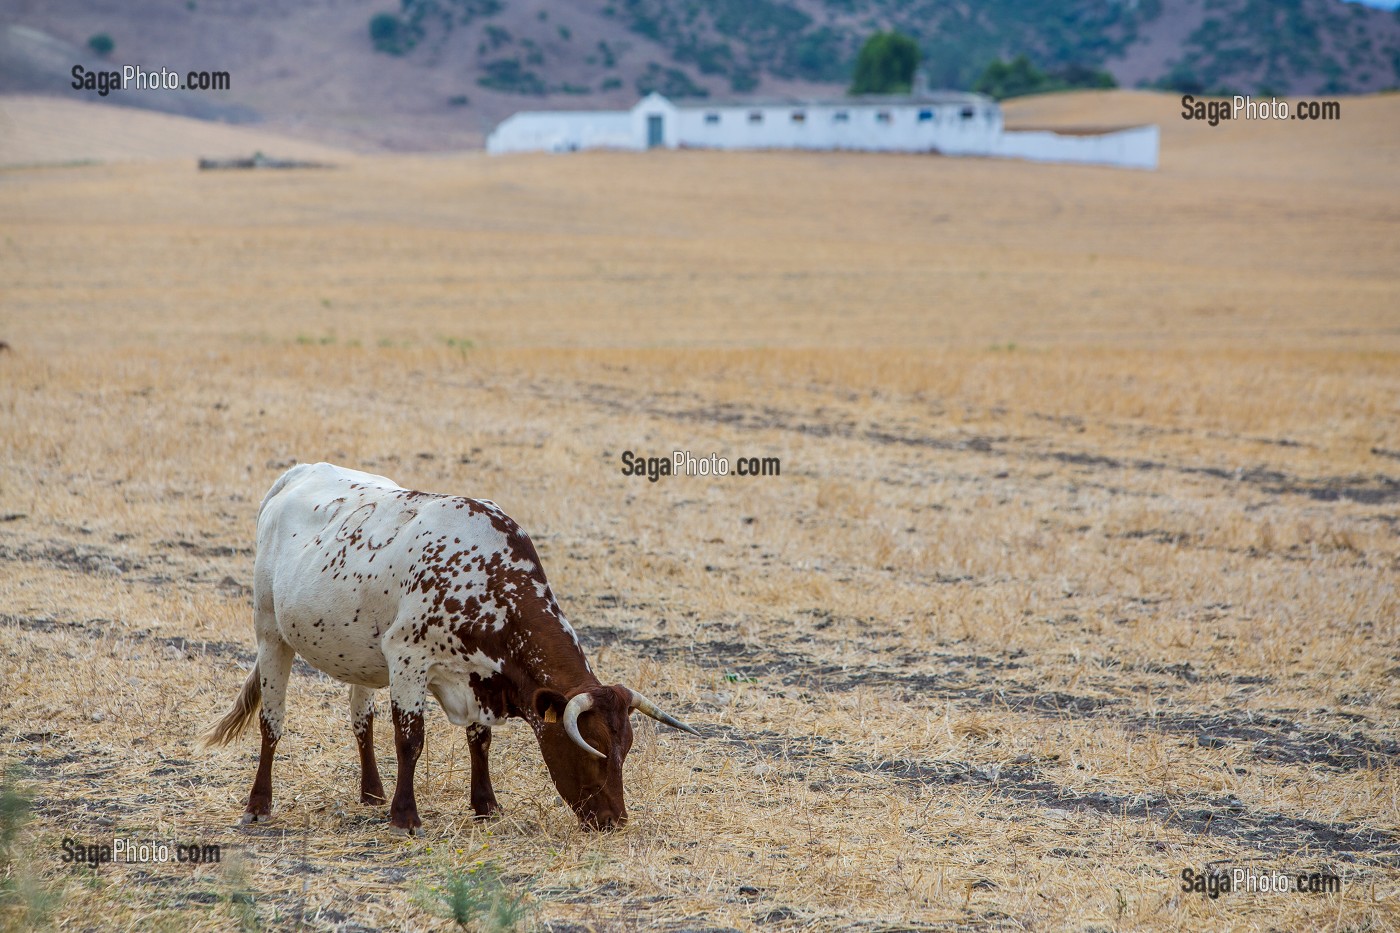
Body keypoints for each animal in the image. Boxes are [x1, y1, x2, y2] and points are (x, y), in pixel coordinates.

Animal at [201, 462, 694, 829]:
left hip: (361, 655)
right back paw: (259, 805)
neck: (488, 581)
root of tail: (297, 473)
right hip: (271, 634)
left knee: (361, 719)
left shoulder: (476, 676)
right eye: (591, 747)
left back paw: (371, 791)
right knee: (272, 722)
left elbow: (480, 740)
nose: (615, 819)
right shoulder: (408, 660)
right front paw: (405, 817)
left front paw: (486, 805)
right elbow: (410, 740)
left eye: (625, 748)